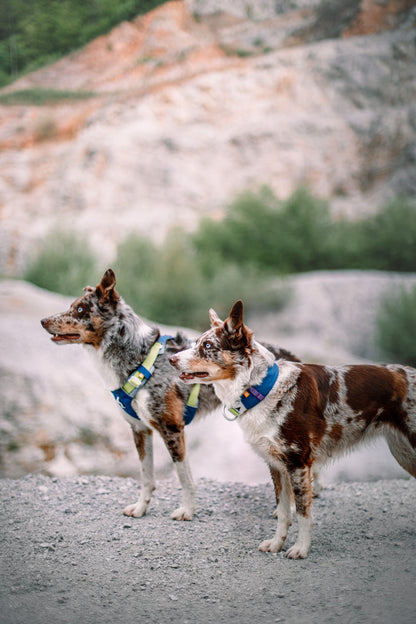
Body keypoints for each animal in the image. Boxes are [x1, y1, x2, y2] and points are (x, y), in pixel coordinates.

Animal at [40, 270, 298, 520]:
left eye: (80, 309)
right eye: (72, 306)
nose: (43, 321)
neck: (139, 357)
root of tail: (290, 356)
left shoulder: (172, 428)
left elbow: (184, 477)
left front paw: (187, 511)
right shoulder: (140, 430)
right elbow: (146, 476)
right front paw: (140, 509)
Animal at [170, 300, 416, 560]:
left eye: (207, 345)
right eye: (196, 342)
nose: (171, 359)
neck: (263, 388)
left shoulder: (298, 464)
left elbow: (302, 513)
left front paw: (301, 548)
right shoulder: (277, 465)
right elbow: (283, 512)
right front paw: (276, 544)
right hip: (403, 454)